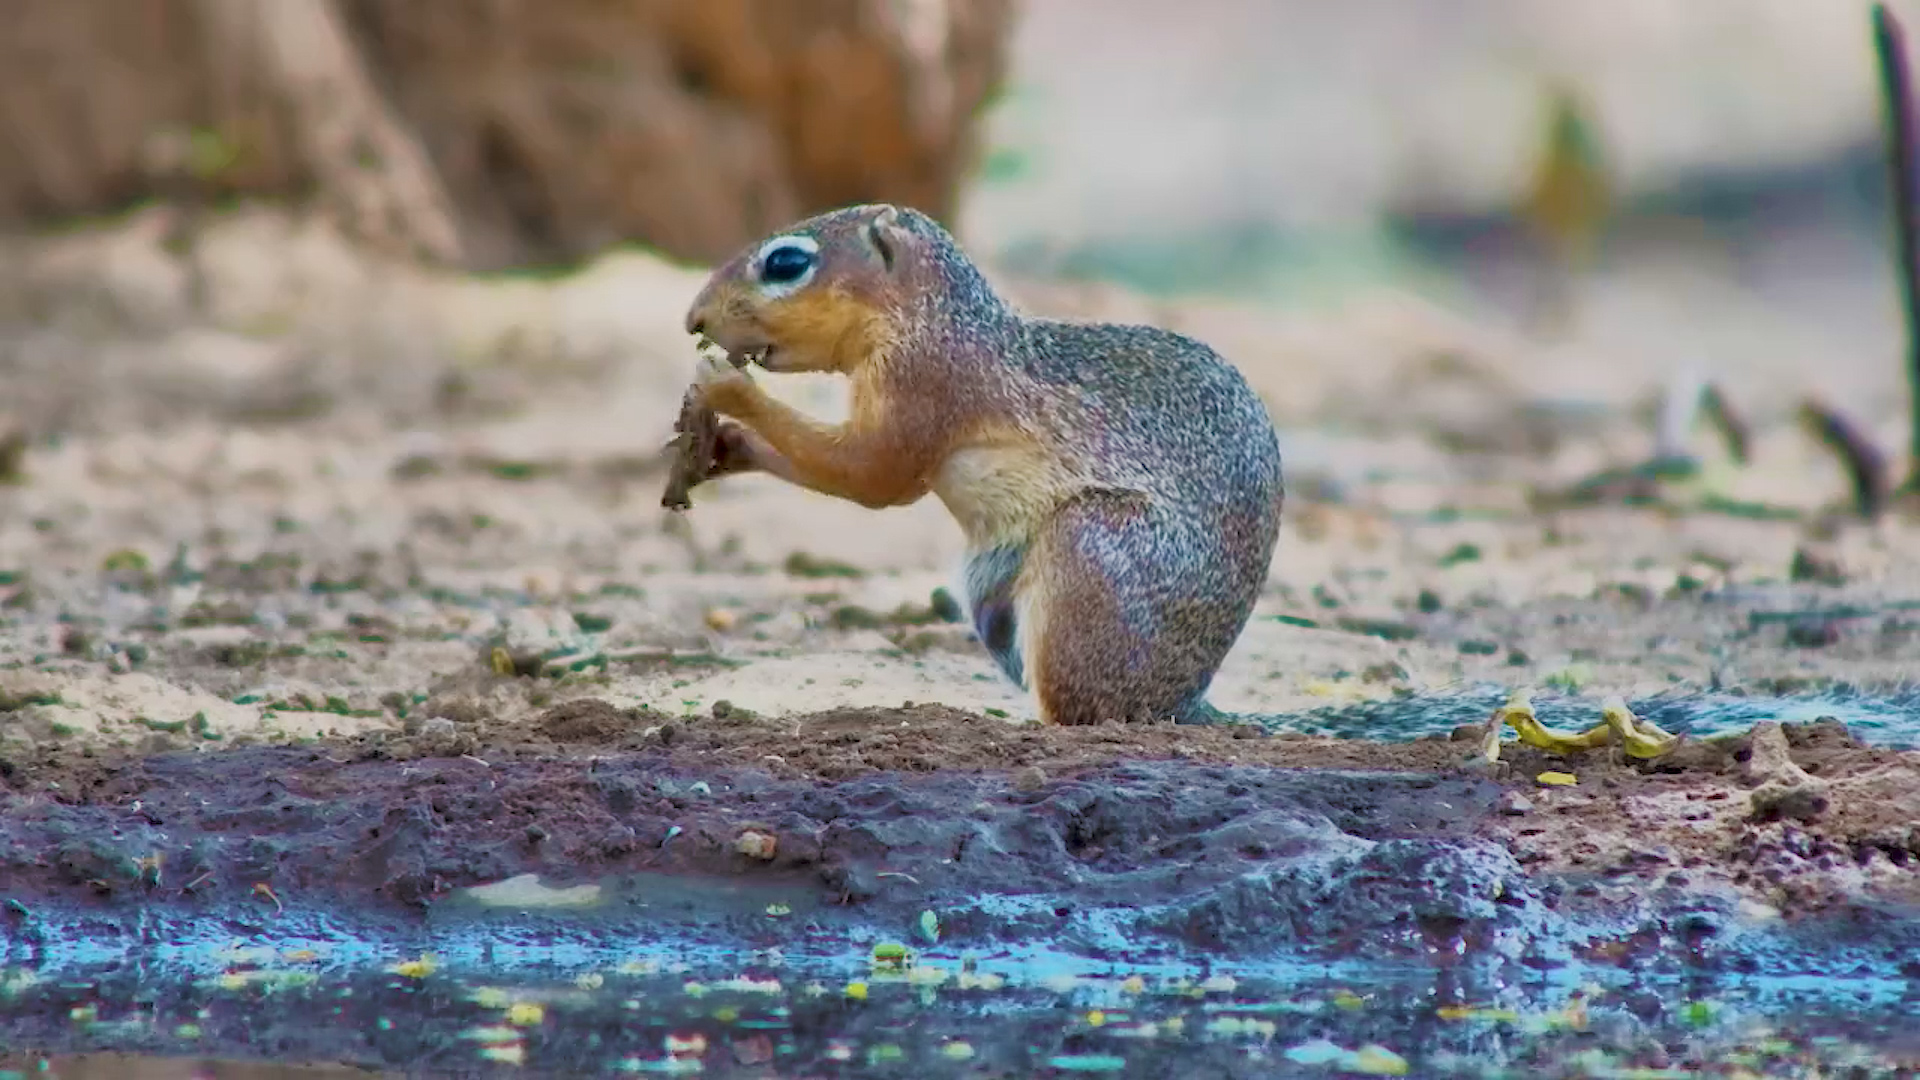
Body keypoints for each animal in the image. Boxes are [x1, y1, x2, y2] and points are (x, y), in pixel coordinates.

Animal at [680, 203, 1284, 726]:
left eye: (786, 263)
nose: (693, 320)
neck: (932, 316)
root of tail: (1184, 702)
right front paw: (724, 446)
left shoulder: (924, 380)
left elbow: (871, 475)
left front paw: (725, 386)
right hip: (986, 586)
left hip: (1091, 546)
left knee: (1085, 709)